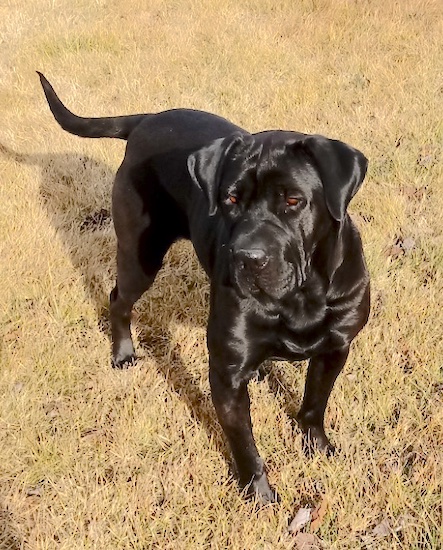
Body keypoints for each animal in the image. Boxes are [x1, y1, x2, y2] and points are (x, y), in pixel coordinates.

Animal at [39, 74, 372, 504]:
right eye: (230, 198)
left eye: (294, 200)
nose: (247, 257)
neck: (300, 296)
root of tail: (147, 119)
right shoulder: (226, 374)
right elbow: (245, 443)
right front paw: (259, 496)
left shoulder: (335, 347)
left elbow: (315, 404)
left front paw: (317, 447)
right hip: (140, 255)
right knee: (118, 299)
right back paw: (124, 353)